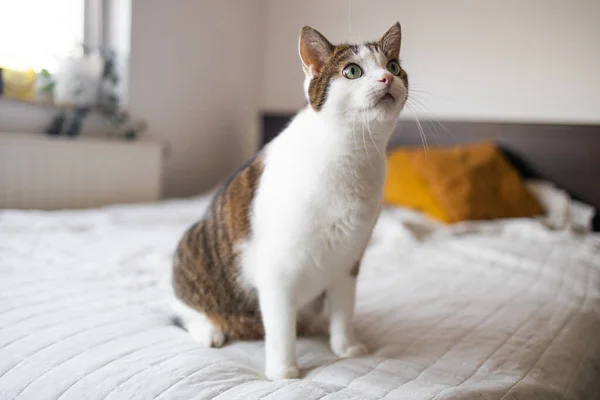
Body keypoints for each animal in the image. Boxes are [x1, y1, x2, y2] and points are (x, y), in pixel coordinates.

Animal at [171, 22, 410, 382]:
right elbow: (281, 327)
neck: (354, 152)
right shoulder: (277, 269)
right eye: (352, 71)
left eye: (393, 66)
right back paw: (210, 329)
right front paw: (283, 370)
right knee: (181, 309)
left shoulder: (349, 258)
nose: (386, 78)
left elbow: (343, 309)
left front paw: (345, 346)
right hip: (192, 245)